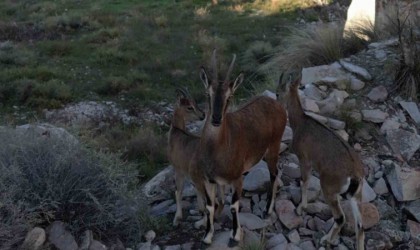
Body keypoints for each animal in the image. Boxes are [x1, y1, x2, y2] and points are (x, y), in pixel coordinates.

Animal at [169, 88, 225, 229]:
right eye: (190, 107)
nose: (202, 115)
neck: (176, 132)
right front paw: (199, 210)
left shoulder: (178, 169)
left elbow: (178, 192)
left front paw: (177, 219)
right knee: (220, 201)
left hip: (202, 178)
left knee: (212, 203)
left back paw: (200, 223)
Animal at [199, 51, 288, 245]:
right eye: (208, 93)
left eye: (230, 96)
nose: (216, 119)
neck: (218, 150)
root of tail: (276, 103)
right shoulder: (209, 180)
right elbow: (209, 206)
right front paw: (207, 236)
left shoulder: (237, 178)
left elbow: (233, 206)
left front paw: (235, 236)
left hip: (274, 146)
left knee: (274, 173)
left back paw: (267, 210)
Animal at [276, 74, 364, 250]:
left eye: (277, 93)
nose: (276, 105)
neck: (301, 122)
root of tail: (355, 175)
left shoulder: (304, 159)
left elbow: (304, 181)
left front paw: (300, 208)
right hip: (355, 196)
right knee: (360, 226)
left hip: (329, 187)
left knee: (340, 218)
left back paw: (326, 240)